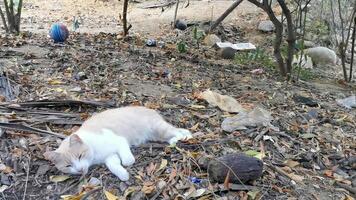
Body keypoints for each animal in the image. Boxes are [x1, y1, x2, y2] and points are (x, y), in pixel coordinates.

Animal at [44, 106, 192, 181]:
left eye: (80, 156)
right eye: (68, 165)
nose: (80, 170)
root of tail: (148, 108)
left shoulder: (120, 141)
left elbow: (127, 160)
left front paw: (127, 163)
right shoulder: (110, 157)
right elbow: (113, 165)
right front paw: (123, 175)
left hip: (158, 128)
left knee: (175, 131)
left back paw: (178, 138)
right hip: (156, 135)